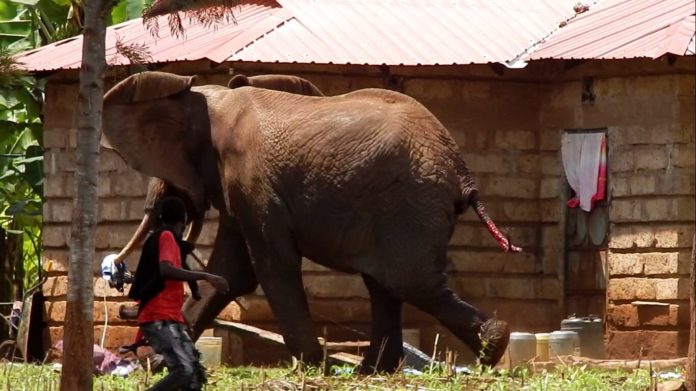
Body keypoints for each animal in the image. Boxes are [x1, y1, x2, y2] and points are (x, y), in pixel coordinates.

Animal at [100, 70, 520, 374]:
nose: (115, 276)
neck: (211, 100)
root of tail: (462, 172)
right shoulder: (237, 188)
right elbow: (231, 270)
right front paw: (158, 364)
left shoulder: (251, 179)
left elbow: (270, 265)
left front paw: (312, 364)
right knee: (386, 283)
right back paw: (375, 370)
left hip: (410, 202)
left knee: (409, 281)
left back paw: (493, 346)